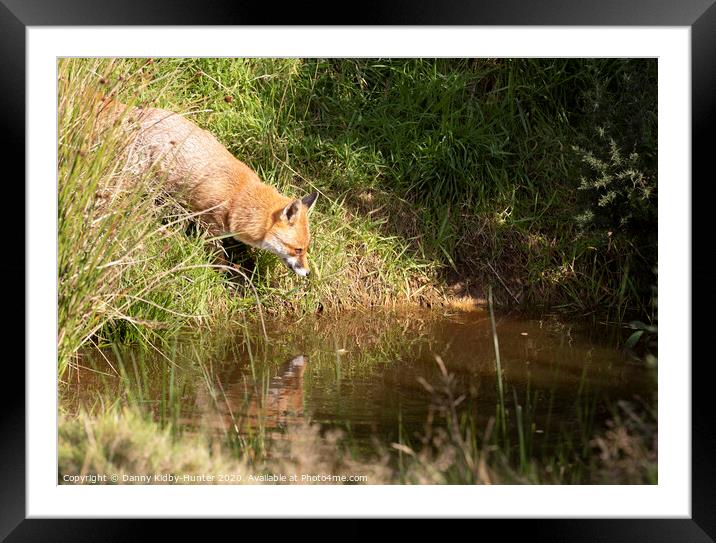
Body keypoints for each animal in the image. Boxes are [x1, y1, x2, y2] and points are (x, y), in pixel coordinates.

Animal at [100, 98, 316, 276]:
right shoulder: (209, 223)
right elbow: (218, 257)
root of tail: (137, 111)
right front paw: (222, 277)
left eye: (306, 249)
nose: (308, 273)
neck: (238, 197)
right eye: (298, 250)